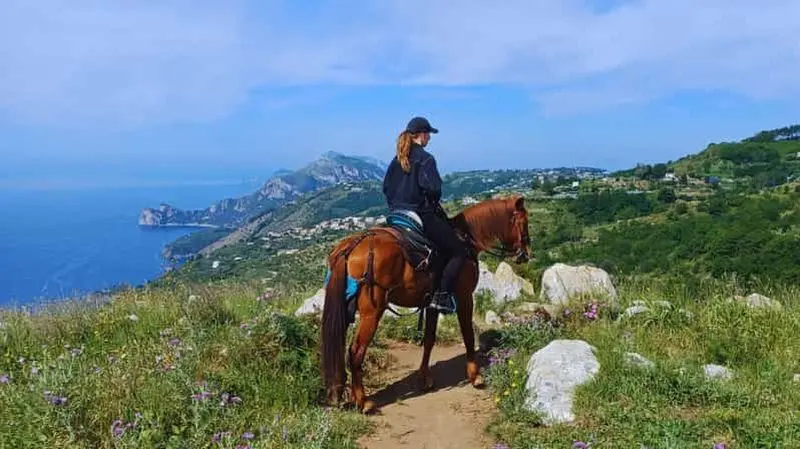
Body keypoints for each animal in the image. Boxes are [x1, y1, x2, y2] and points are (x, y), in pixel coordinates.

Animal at [320, 195, 531, 413]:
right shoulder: (465, 297)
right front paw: (475, 376)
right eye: (523, 222)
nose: (525, 254)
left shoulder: (432, 303)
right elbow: (468, 335)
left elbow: (429, 339)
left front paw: (425, 378)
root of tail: (351, 246)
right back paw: (364, 402)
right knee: (355, 352)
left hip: (345, 312)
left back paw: (347, 395)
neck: (466, 239)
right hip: (372, 312)